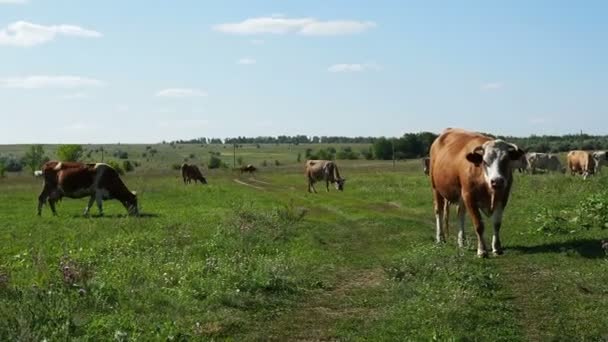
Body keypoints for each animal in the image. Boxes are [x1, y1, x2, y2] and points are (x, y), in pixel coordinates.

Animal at [430, 128, 524, 256]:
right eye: (485, 162)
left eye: (506, 160)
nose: (497, 181)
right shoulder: (469, 196)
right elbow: (479, 225)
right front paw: (482, 250)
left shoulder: (503, 197)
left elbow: (497, 224)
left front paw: (497, 248)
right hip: (436, 188)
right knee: (438, 211)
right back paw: (440, 238)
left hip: (461, 196)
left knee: (460, 214)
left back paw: (462, 241)